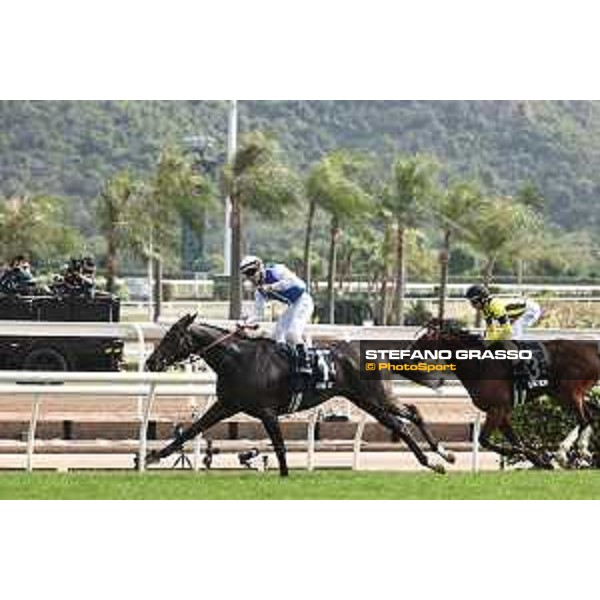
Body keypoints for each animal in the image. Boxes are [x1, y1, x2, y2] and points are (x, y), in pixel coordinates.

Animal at [142, 314, 454, 478]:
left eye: (171, 337)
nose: (150, 363)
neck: (239, 359)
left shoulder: (266, 412)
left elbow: (279, 445)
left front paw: (285, 475)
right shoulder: (226, 404)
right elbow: (191, 430)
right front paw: (152, 456)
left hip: (374, 396)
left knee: (408, 416)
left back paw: (440, 457)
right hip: (365, 400)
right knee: (402, 421)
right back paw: (436, 459)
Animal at [412, 318, 600, 468]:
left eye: (425, 338)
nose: (410, 354)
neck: (479, 365)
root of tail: (592, 347)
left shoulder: (497, 409)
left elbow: (484, 440)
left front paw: (515, 453)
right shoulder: (501, 413)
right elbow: (516, 441)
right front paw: (540, 461)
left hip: (569, 392)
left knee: (584, 419)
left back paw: (569, 452)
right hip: (563, 394)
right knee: (590, 415)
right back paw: (575, 451)